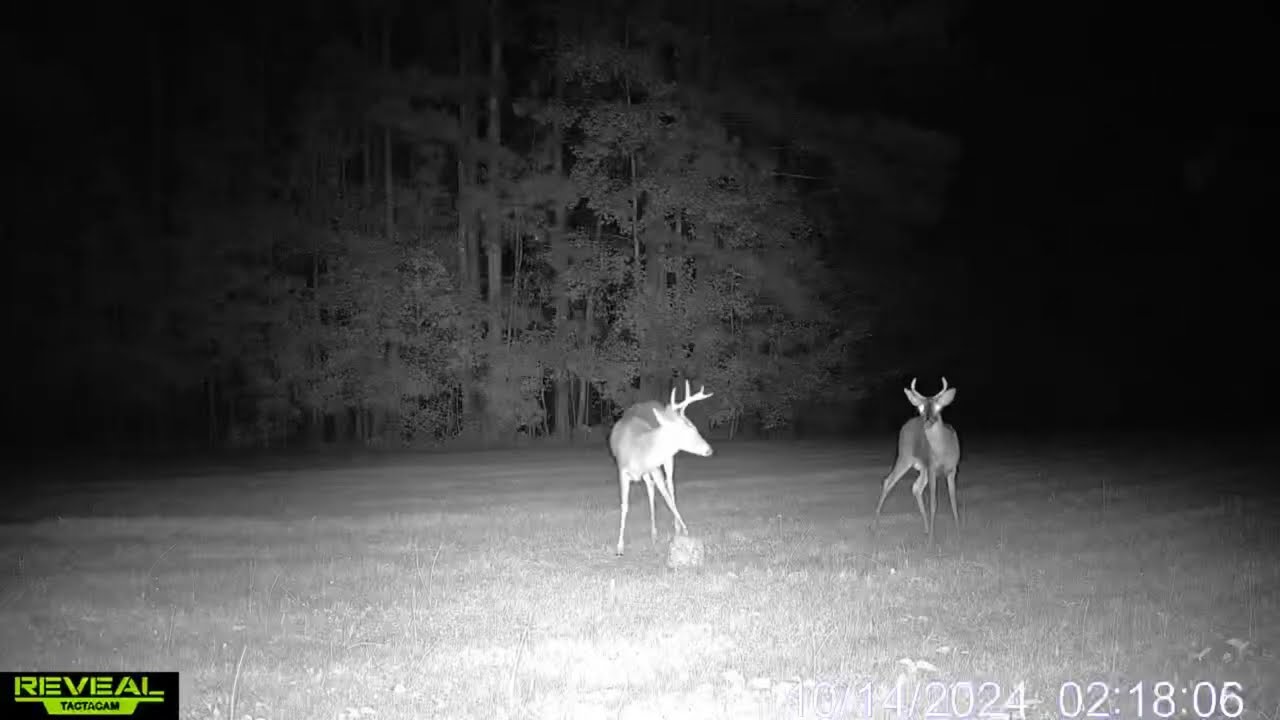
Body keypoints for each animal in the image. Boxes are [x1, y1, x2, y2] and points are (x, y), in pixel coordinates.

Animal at [609, 380, 715, 556]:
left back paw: (673, 528)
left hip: (667, 459)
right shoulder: (622, 471)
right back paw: (654, 533)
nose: (709, 450)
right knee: (651, 490)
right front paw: (619, 547)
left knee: (669, 486)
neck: (639, 449)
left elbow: (667, 499)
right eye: (684, 431)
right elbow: (624, 506)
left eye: (695, 428)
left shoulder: (655, 467)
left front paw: (684, 529)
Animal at [874, 377, 961, 539]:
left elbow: (953, 501)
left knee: (916, 488)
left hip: (922, 468)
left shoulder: (952, 469)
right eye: (920, 408)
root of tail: (908, 423)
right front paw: (932, 540)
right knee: (889, 481)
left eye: (939, 407)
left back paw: (926, 529)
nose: (927, 421)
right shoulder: (932, 468)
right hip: (905, 455)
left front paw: (959, 534)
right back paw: (874, 527)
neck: (943, 451)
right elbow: (934, 504)